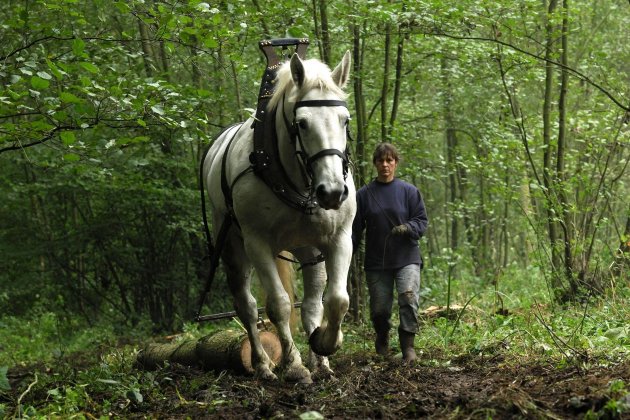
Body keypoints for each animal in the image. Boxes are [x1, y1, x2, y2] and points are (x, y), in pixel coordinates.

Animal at [205, 50, 358, 382]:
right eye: (302, 123)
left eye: (345, 120)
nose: (332, 191)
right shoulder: (257, 243)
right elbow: (278, 305)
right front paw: (294, 365)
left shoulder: (340, 238)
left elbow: (337, 300)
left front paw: (324, 342)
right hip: (233, 246)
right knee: (247, 306)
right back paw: (263, 364)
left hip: (308, 247)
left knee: (312, 304)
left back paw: (320, 363)